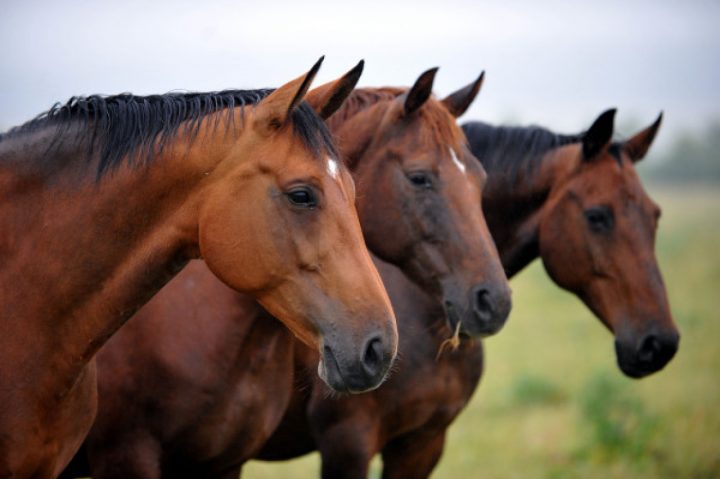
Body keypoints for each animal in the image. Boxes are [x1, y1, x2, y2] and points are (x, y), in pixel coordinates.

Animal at [250, 110, 680, 478]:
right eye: (597, 216)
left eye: (655, 215)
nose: (660, 344)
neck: (422, 311)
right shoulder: (347, 443)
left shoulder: (424, 441)